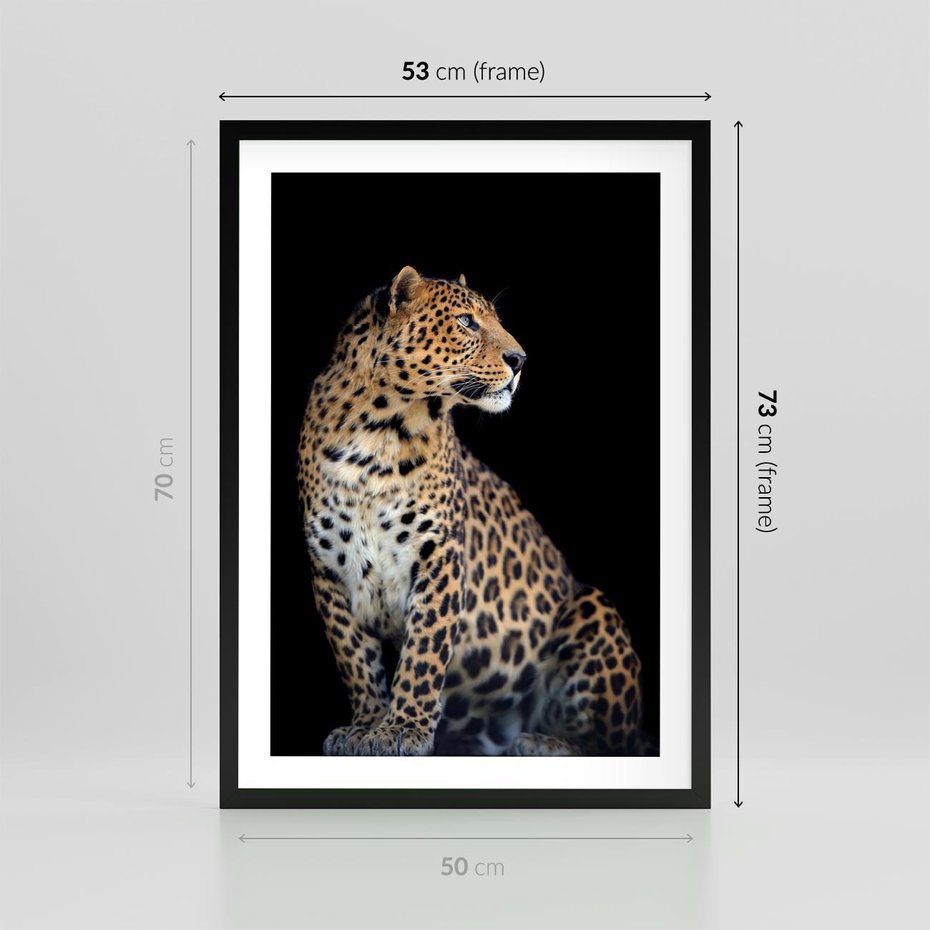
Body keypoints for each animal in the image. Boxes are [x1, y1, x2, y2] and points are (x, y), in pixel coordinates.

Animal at [298, 266, 651, 756]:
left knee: (614, 742)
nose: (520, 359)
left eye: (495, 320)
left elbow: (423, 652)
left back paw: (543, 743)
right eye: (466, 322)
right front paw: (365, 726)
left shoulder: (439, 556)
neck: (377, 434)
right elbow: (355, 659)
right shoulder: (329, 568)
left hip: (592, 608)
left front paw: (401, 730)